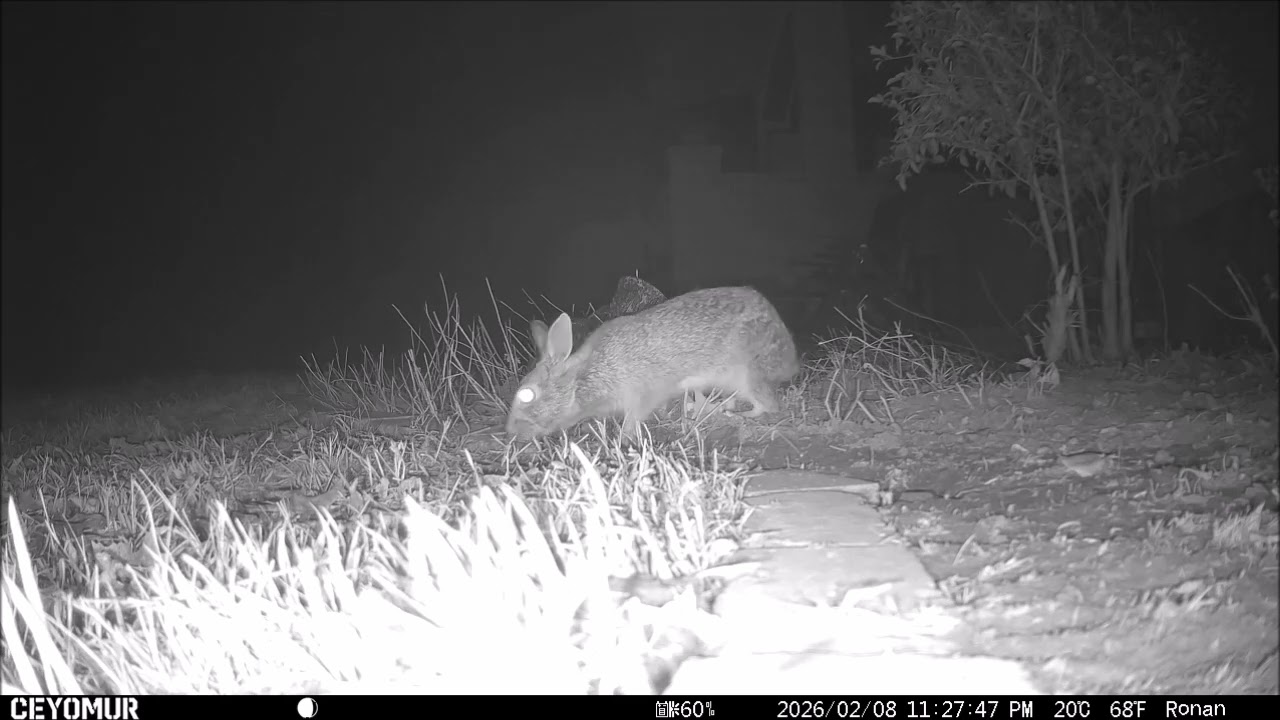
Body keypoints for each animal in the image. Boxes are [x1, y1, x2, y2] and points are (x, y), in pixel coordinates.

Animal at [506, 286, 799, 441]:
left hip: (749, 374)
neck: (580, 381)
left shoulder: (643, 393)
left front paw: (624, 438)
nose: (511, 431)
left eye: (527, 395)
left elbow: (634, 418)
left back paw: (736, 415)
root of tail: (790, 357)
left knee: (768, 405)